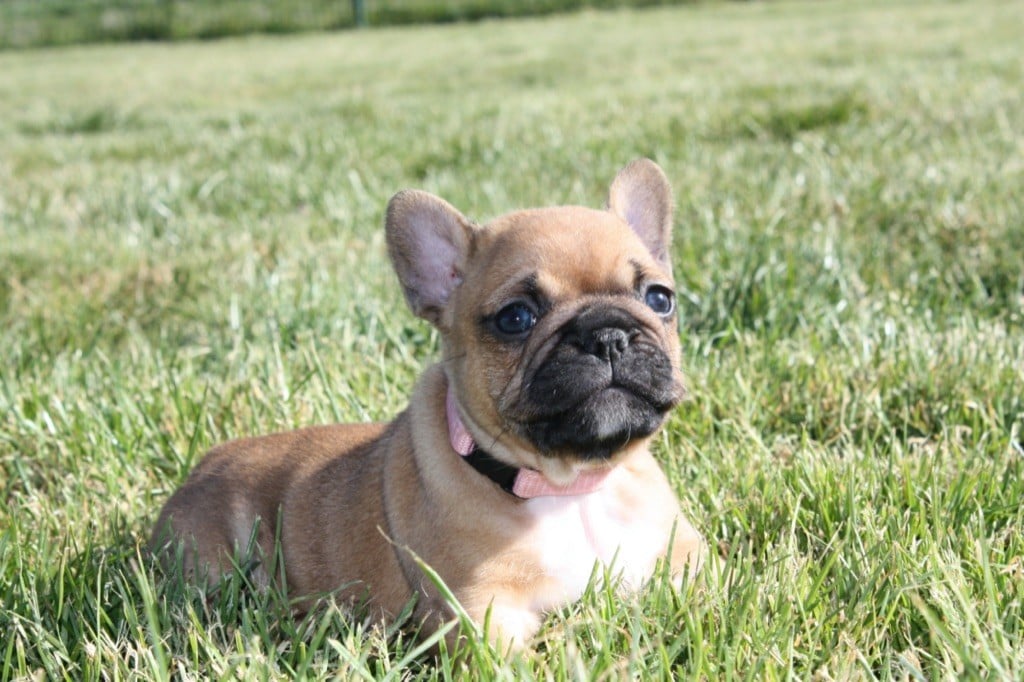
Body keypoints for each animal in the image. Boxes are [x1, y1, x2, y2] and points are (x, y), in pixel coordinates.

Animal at [149, 157, 704, 647]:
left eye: (660, 299)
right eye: (516, 318)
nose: (607, 335)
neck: (571, 486)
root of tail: (202, 467)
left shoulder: (686, 556)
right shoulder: (482, 611)